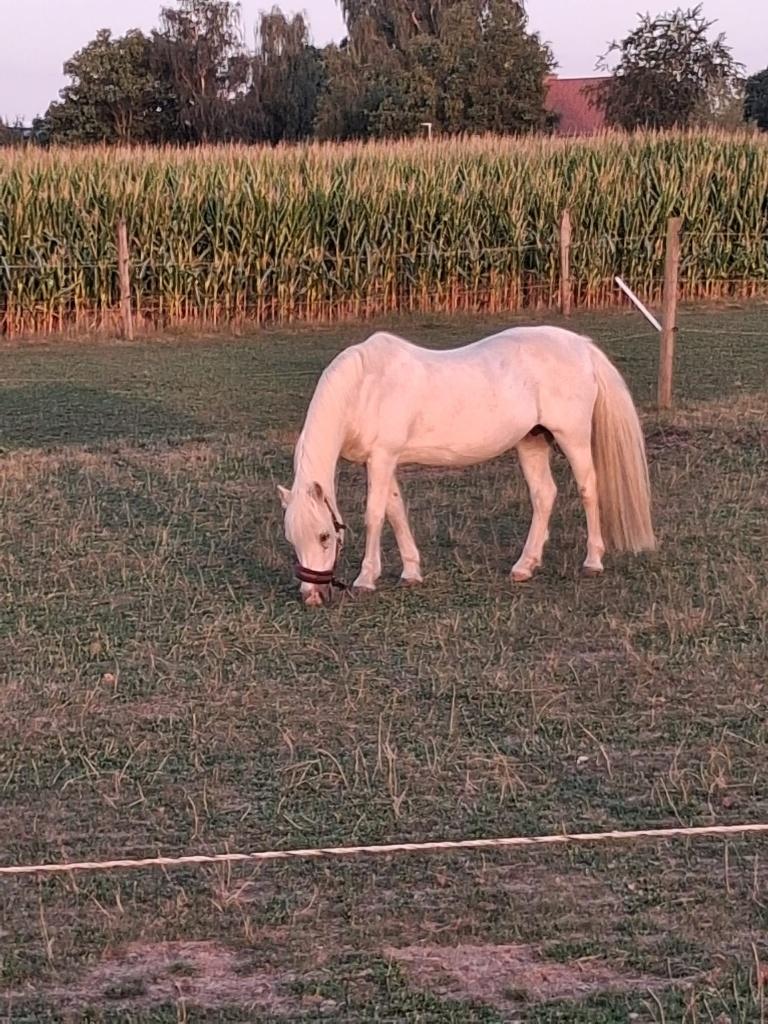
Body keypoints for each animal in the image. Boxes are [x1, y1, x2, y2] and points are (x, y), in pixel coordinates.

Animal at [278, 325, 655, 606]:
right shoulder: (385, 460)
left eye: (325, 536)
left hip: (572, 437)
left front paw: (366, 578)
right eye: (291, 538)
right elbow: (396, 511)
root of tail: (581, 346)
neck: (365, 386)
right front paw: (411, 573)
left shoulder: (382, 458)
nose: (312, 596)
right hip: (531, 441)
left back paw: (592, 562)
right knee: (544, 495)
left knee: (589, 489)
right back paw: (524, 566)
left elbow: (375, 515)